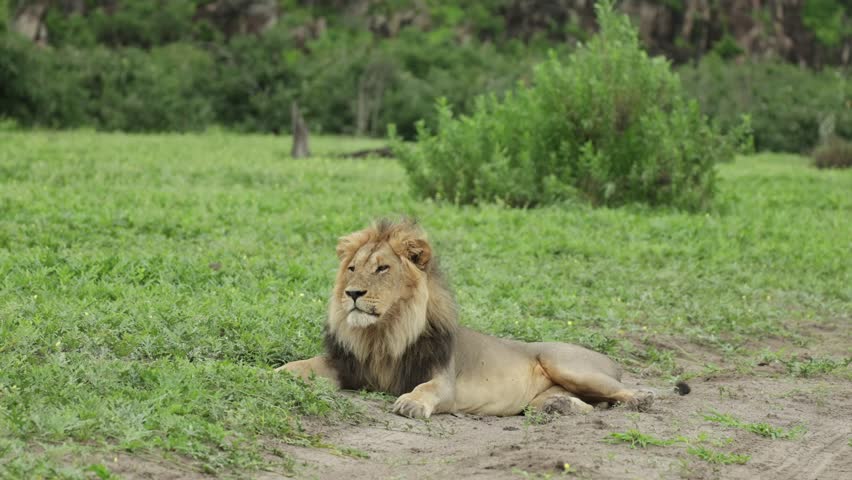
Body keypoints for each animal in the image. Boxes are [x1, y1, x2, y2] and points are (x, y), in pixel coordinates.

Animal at [277, 219, 656, 418]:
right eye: (353, 268)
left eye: (382, 269)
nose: (352, 293)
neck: (383, 333)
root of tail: (611, 359)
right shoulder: (347, 366)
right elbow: (303, 365)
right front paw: (276, 373)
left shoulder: (444, 381)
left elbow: (427, 388)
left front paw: (411, 402)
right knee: (586, 406)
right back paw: (561, 404)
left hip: (568, 364)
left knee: (618, 390)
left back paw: (641, 398)